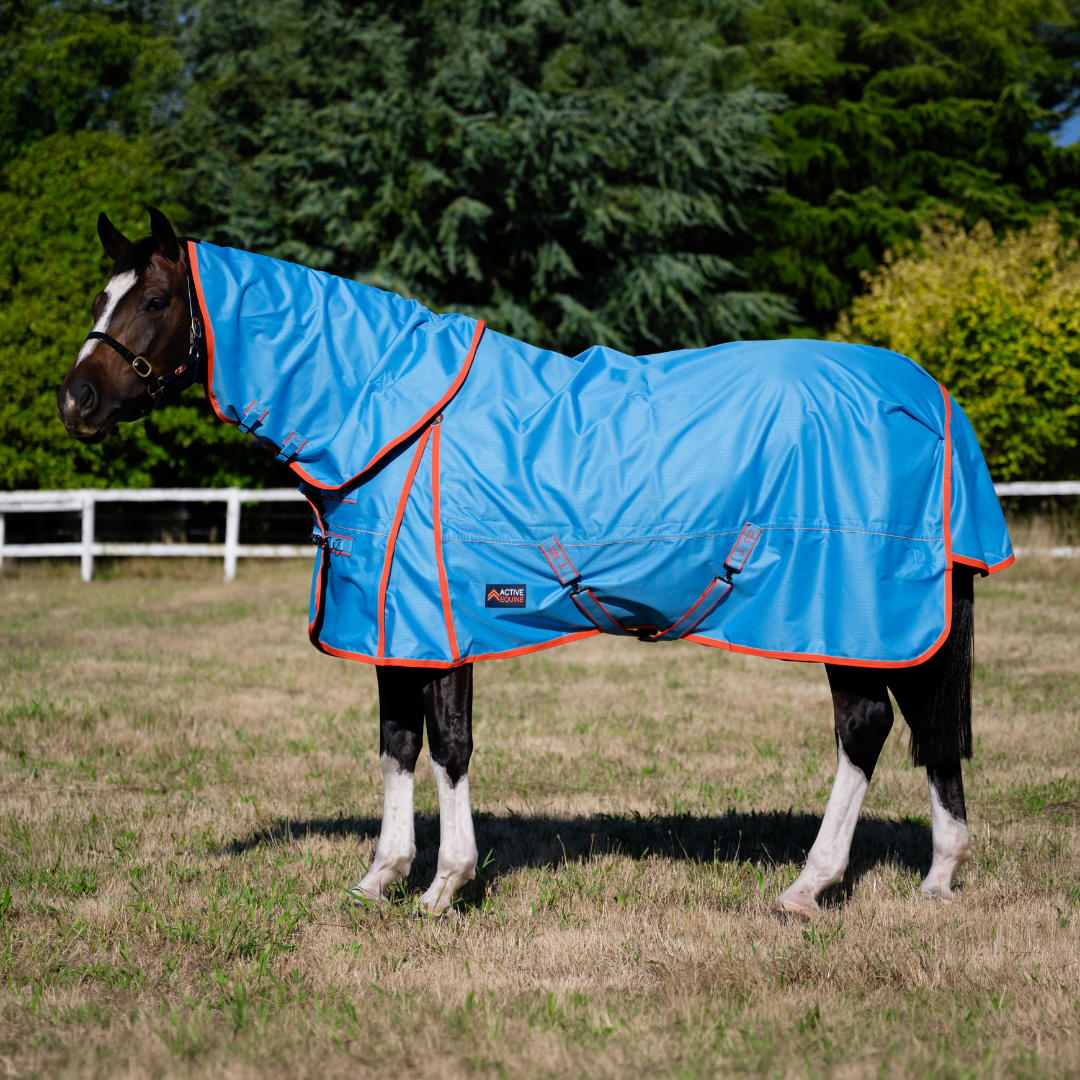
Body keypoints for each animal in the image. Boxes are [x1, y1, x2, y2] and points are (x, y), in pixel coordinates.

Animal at [58, 208, 1013, 918]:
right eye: (101, 294)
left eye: (154, 298)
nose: (77, 400)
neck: (386, 415)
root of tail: (930, 399)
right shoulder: (393, 628)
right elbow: (396, 744)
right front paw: (379, 878)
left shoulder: (440, 625)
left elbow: (448, 747)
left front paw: (445, 886)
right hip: (892, 623)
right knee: (920, 727)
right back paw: (936, 878)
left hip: (852, 616)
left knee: (866, 728)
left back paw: (809, 887)